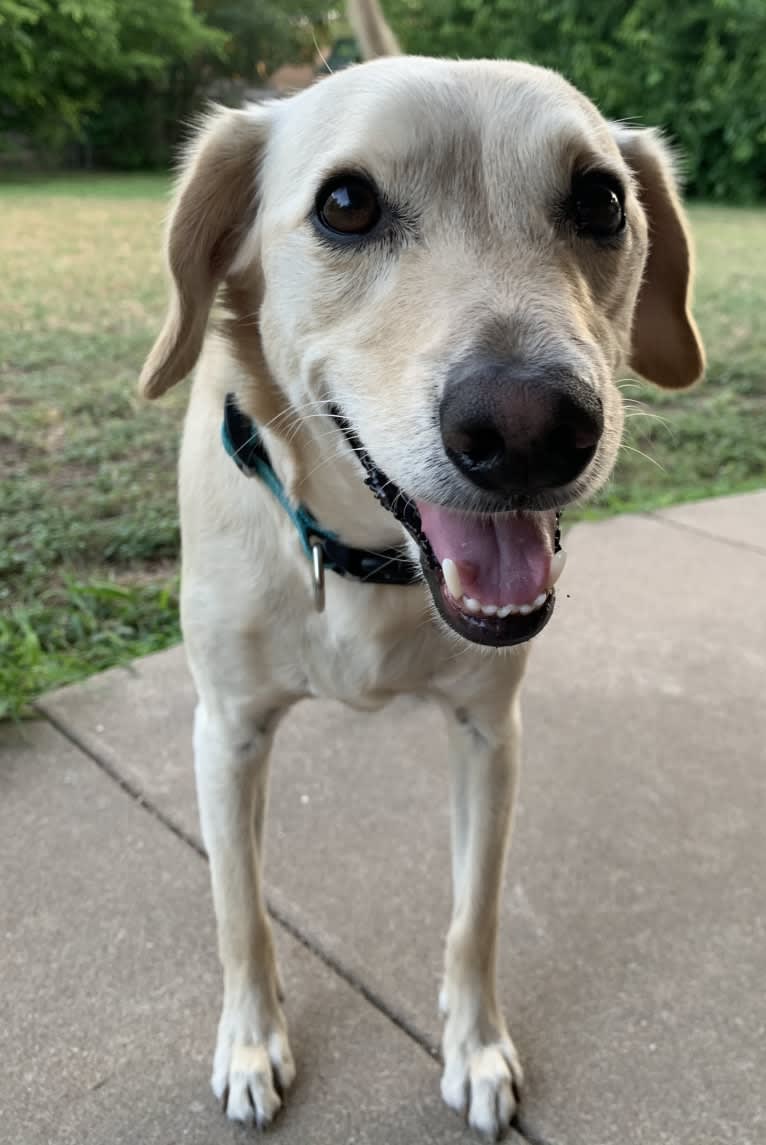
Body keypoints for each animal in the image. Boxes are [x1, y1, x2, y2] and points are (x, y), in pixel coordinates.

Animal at [140, 2, 700, 1135]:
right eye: (345, 204)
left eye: (601, 200)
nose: (530, 430)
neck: (368, 557)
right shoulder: (225, 732)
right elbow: (239, 909)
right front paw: (251, 1040)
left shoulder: (491, 733)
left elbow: (473, 913)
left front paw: (475, 1046)